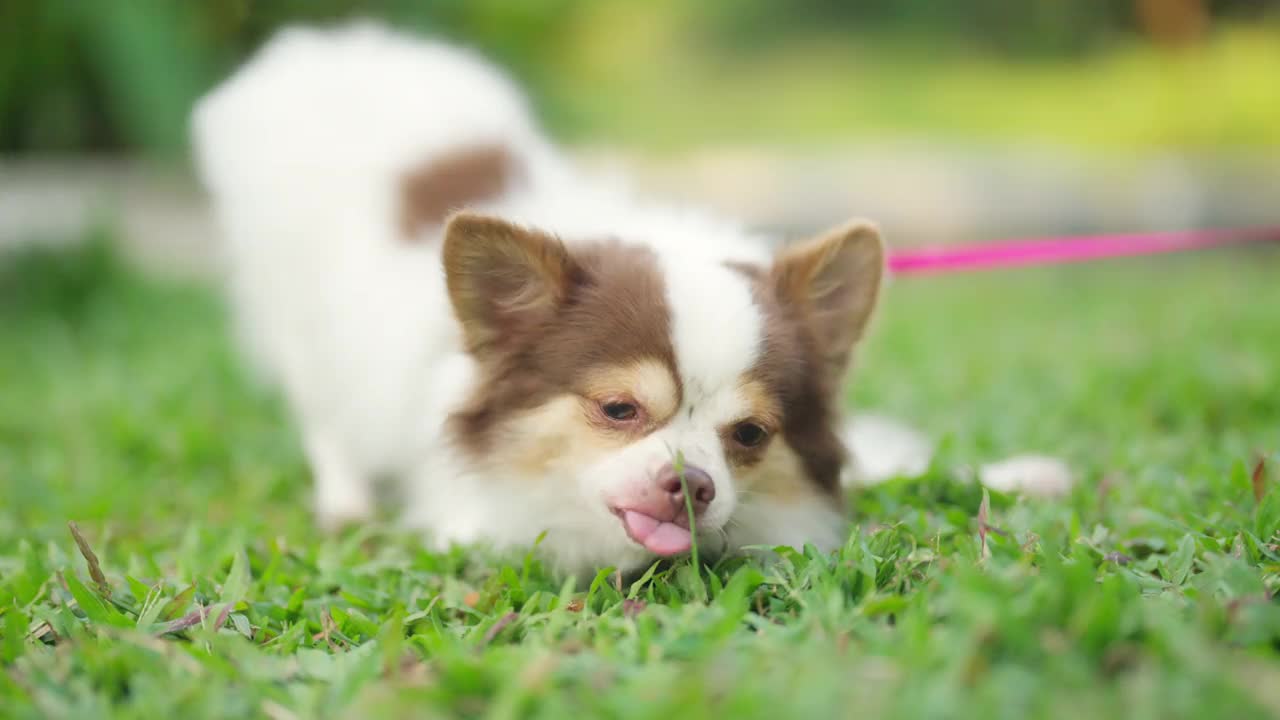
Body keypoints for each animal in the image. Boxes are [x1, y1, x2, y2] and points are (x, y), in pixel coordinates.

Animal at [194, 22, 906, 573]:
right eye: (619, 410)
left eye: (751, 434)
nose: (690, 484)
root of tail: (335, 47)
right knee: (326, 415)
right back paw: (345, 501)